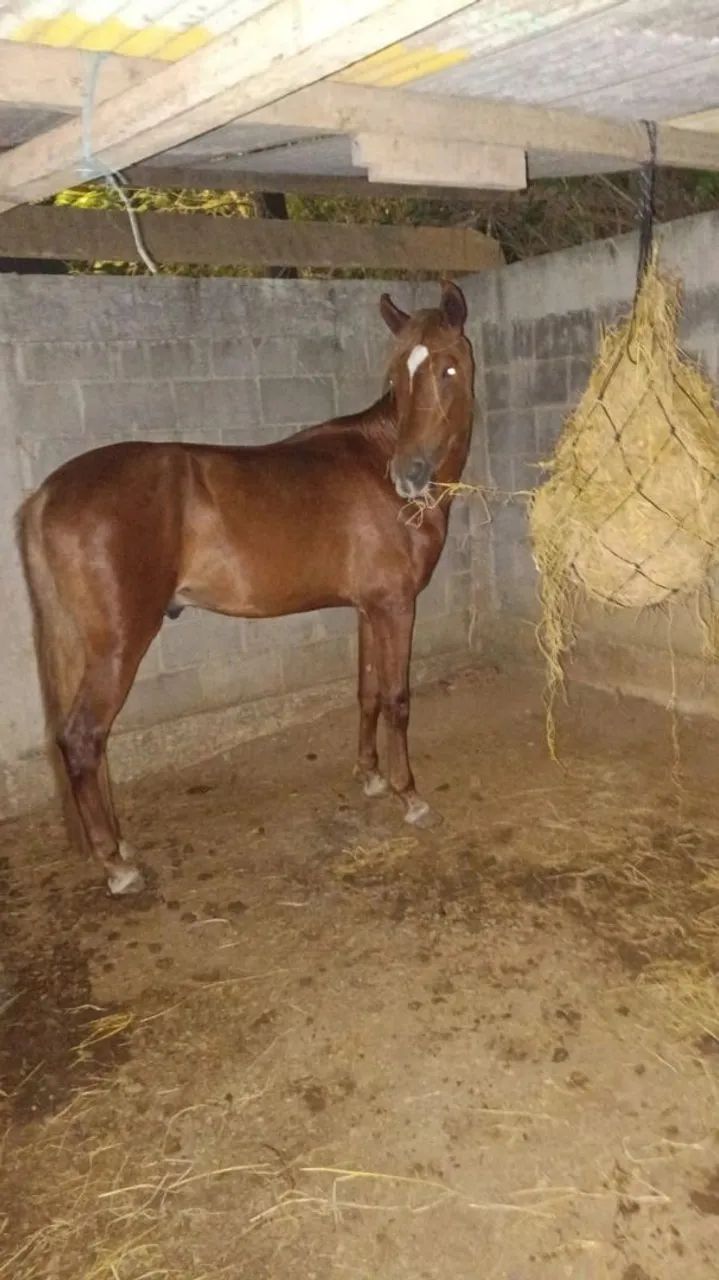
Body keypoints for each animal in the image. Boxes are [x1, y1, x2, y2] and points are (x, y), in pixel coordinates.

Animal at [18, 279, 475, 896]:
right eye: (398, 376)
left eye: (448, 368)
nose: (409, 473)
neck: (375, 464)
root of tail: (46, 494)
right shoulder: (397, 607)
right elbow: (398, 699)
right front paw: (411, 797)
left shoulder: (368, 608)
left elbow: (367, 692)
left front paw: (371, 777)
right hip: (118, 645)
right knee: (84, 738)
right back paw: (117, 866)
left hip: (78, 646)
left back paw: (117, 845)